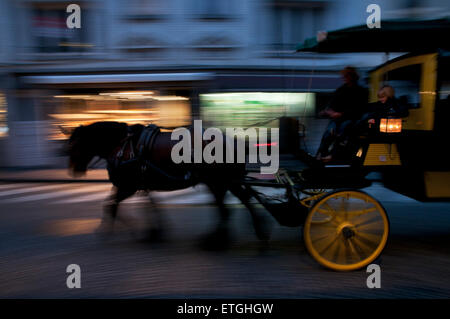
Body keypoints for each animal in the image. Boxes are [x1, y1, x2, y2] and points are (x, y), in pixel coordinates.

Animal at [65, 121, 268, 249]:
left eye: (73, 146)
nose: (73, 172)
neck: (122, 145)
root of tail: (235, 142)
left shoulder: (129, 186)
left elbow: (111, 205)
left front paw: (131, 230)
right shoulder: (137, 184)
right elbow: (149, 206)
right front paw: (154, 232)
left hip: (217, 182)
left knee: (227, 209)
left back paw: (218, 239)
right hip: (224, 182)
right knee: (238, 203)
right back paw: (249, 231)